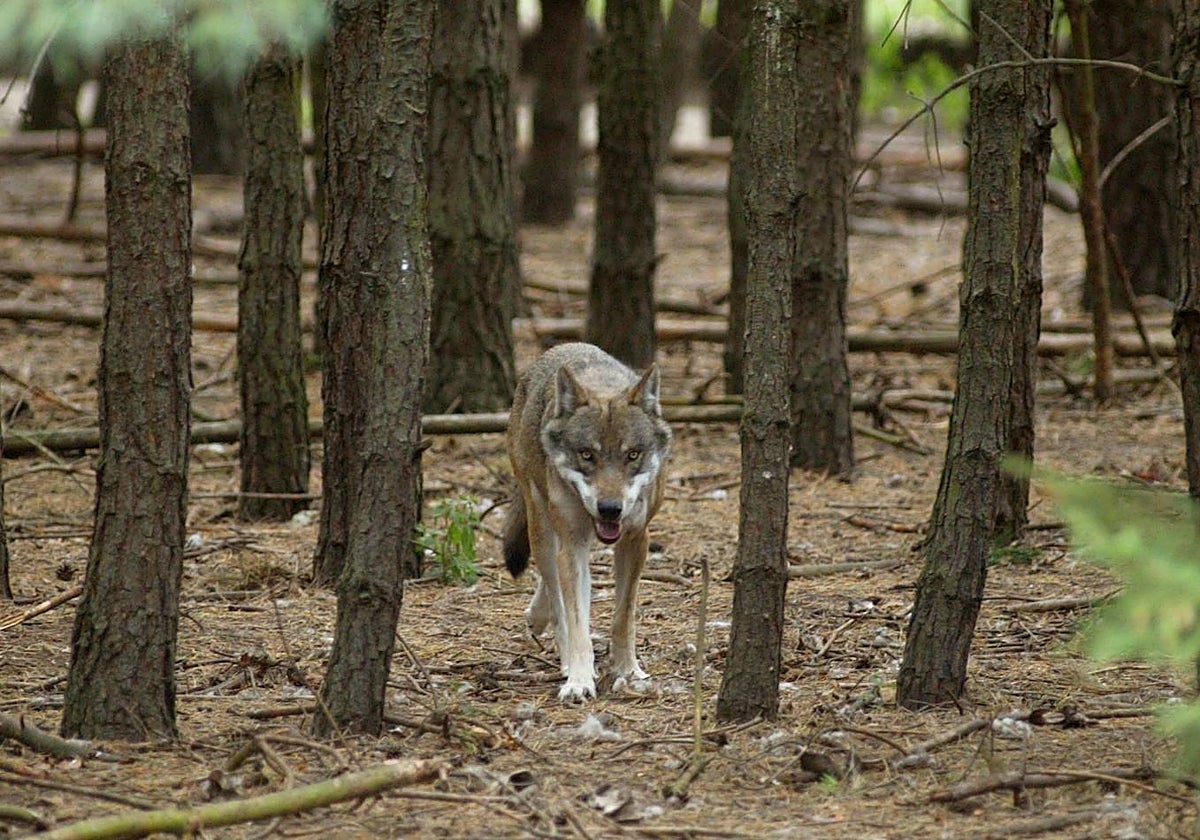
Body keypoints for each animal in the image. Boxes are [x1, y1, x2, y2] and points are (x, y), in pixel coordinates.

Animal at [503, 343, 672, 701]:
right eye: (586, 455)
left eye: (632, 455)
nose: (610, 509)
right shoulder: (574, 546)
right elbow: (576, 620)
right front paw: (579, 680)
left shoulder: (636, 540)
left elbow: (623, 617)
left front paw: (628, 670)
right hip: (542, 527)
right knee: (556, 595)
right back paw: (563, 654)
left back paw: (536, 616)